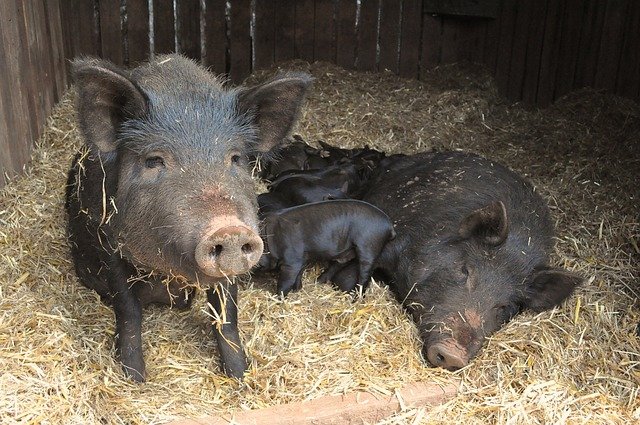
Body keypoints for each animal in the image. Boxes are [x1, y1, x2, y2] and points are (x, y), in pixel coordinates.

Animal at [65, 54, 311, 381]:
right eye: (154, 160)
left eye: (235, 158)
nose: (228, 229)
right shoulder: (109, 246)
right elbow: (128, 313)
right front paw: (135, 379)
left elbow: (227, 315)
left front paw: (240, 376)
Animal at [258, 200, 396, 296]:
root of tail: (389, 226)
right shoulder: (303, 257)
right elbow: (299, 273)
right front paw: (297, 289)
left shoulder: (292, 260)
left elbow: (285, 282)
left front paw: (279, 298)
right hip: (348, 251)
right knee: (339, 263)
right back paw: (318, 281)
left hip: (369, 246)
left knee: (364, 275)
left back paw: (355, 299)